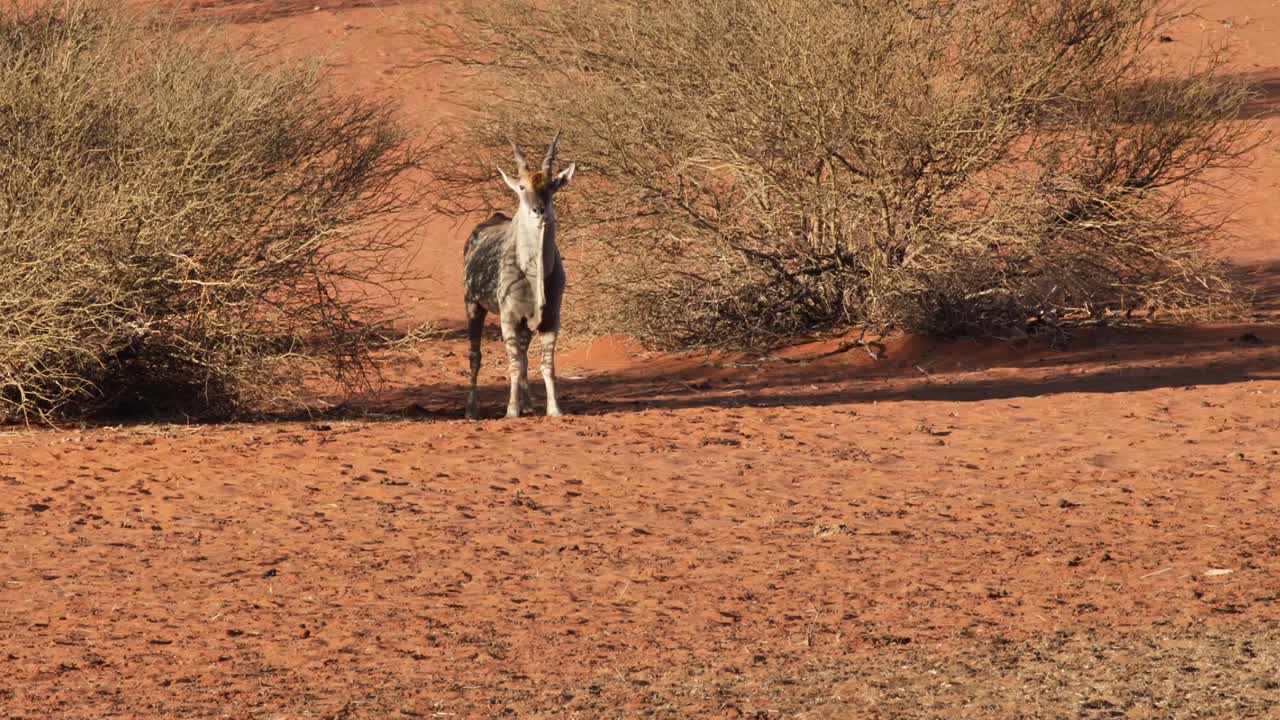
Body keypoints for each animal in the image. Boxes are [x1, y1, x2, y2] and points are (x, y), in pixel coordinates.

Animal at [463, 131, 575, 419]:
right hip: (473, 305)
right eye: (522, 187)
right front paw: (511, 411)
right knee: (476, 356)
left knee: (524, 358)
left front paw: (554, 409)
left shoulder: (550, 319)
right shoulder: (509, 317)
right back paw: (472, 410)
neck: (533, 273)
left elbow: (546, 366)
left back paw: (529, 404)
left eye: (551, 186)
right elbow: (513, 364)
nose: (539, 210)